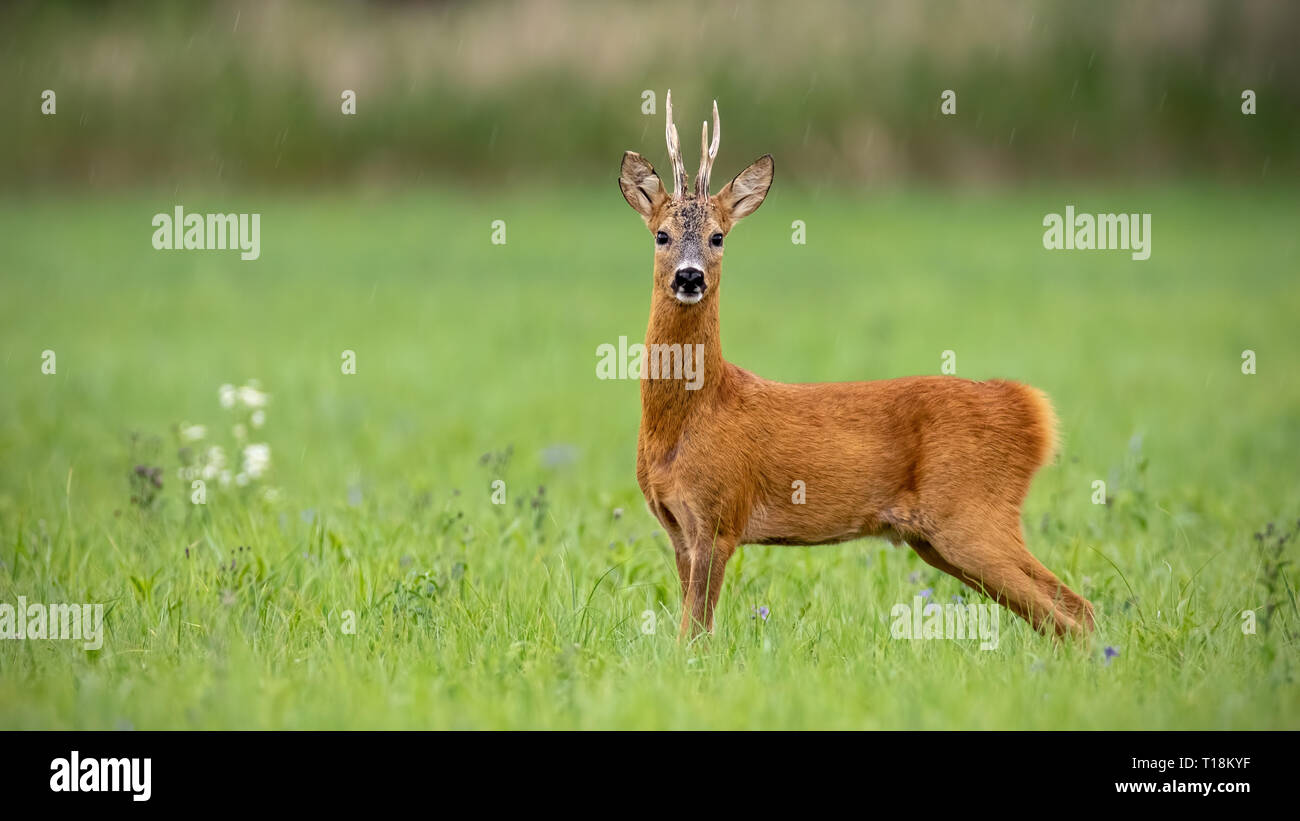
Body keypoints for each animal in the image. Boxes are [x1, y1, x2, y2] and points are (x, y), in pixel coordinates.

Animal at [618, 91, 1097, 641]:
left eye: (719, 237)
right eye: (661, 235)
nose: (690, 277)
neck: (690, 416)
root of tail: (1028, 409)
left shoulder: (721, 515)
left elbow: (695, 632)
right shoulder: (678, 526)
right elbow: (689, 626)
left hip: (973, 515)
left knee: (1076, 610)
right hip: (940, 538)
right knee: (1062, 611)